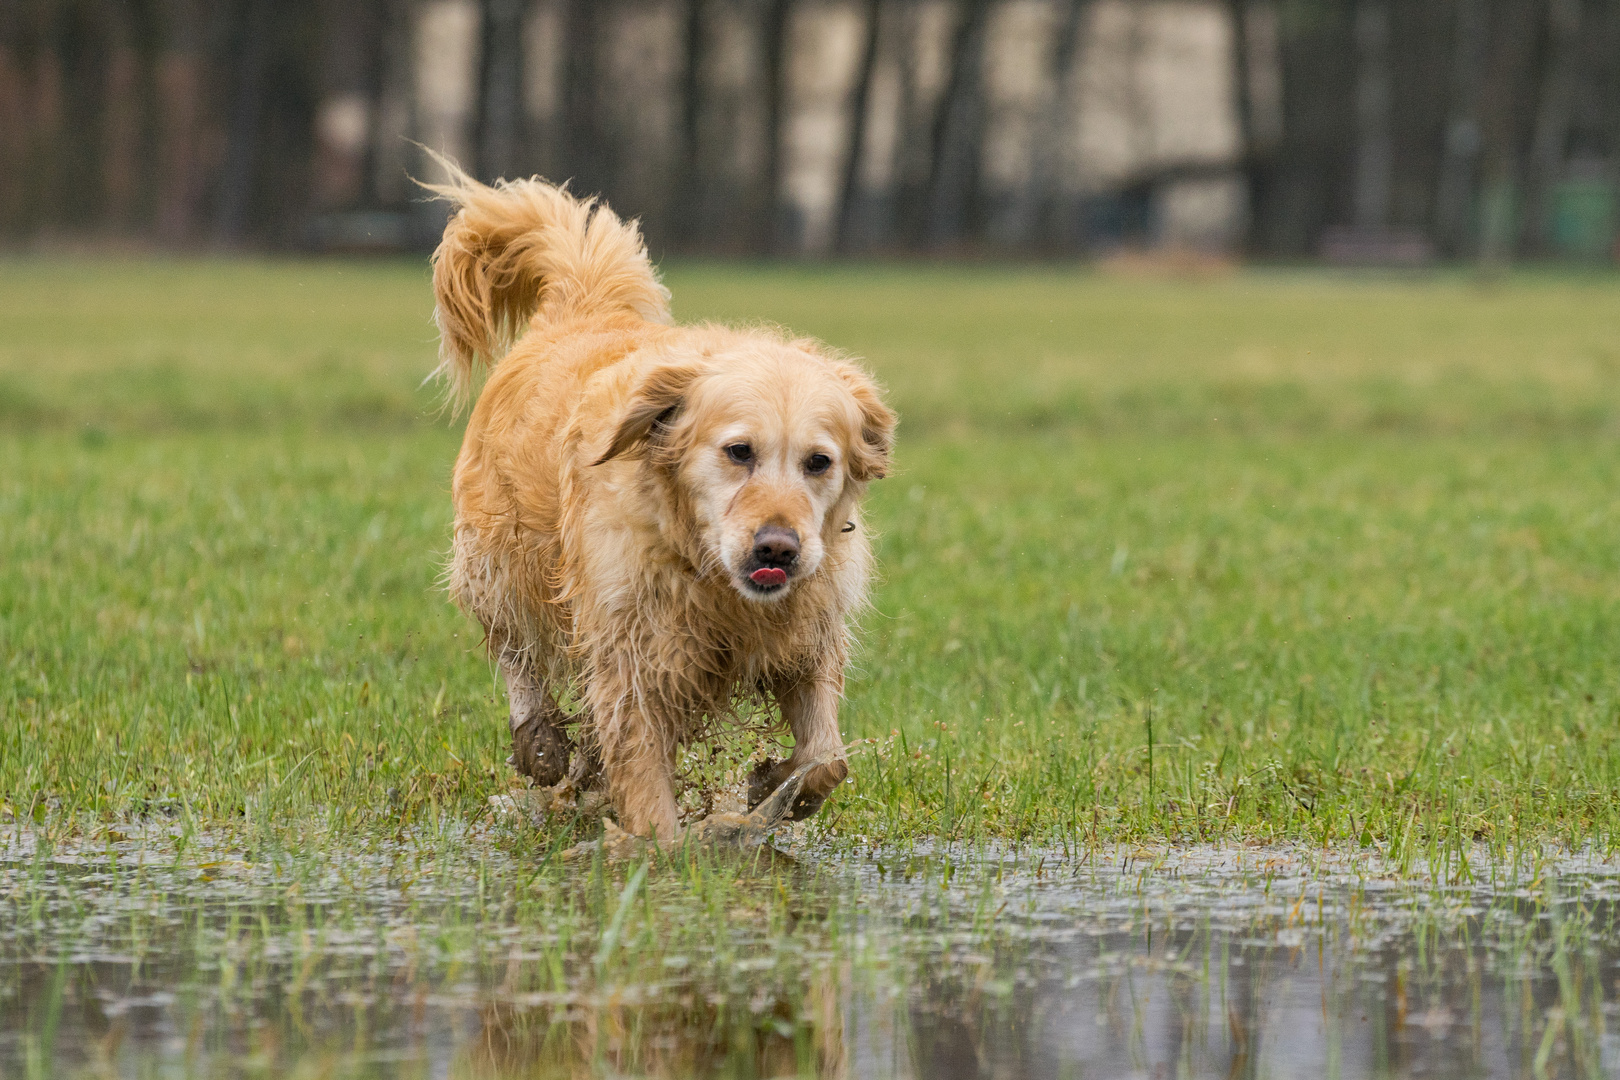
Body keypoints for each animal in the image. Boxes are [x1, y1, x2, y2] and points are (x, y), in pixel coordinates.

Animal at [424, 160, 894, 841]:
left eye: (819, 462)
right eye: (739, 451)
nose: (777, 548)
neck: (706, 571)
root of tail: (581, 308)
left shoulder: (807, 636)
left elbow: (827, 759)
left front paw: (771, 783)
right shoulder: (633, 659)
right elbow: (649, 798)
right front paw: (663, 849)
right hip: (499, 559)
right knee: (514, 648)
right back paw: (540, 742)